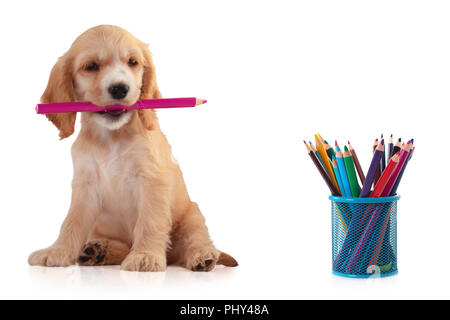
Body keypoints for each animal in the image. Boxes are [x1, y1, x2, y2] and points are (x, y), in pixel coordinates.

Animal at [27, 25, 239, 272]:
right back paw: (98, 251)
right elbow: (72, 222)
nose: (120, 89)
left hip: (192, 215)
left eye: (133, 62)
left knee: (195, 239)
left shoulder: (151, 180)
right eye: (91, 66)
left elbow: (149, 222)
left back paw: (203, 256)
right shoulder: (85, 185)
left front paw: (145, 256)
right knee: (121, 246)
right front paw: (57, 251)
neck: (111, 138)